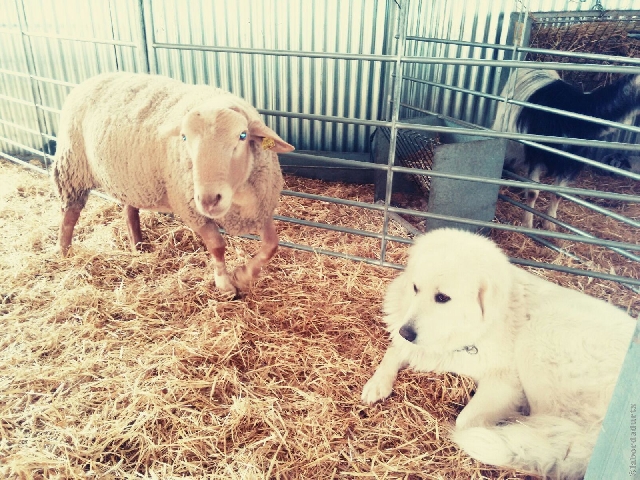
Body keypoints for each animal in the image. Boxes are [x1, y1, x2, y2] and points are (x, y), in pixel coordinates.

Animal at [52, 71, 296, 294]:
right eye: (184, 137)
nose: (208, 199)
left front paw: (243, 275)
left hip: (133, 180)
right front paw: (225, 284)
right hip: (72, 167)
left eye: (243, 136)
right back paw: (65, 252)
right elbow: (217, 246)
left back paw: (138, 246)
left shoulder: (262, 208)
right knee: (69, 215)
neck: (238, 195)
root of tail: (92, 78)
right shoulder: (192, 210)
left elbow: (271, 245)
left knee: (129, 211)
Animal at [360, 230, 636, 480]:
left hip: (537, 336)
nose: (406, 331)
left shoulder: (506, 382)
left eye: (442, 298)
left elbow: (464, 420)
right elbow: (393, 352)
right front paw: (377, 383)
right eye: (416, 288)